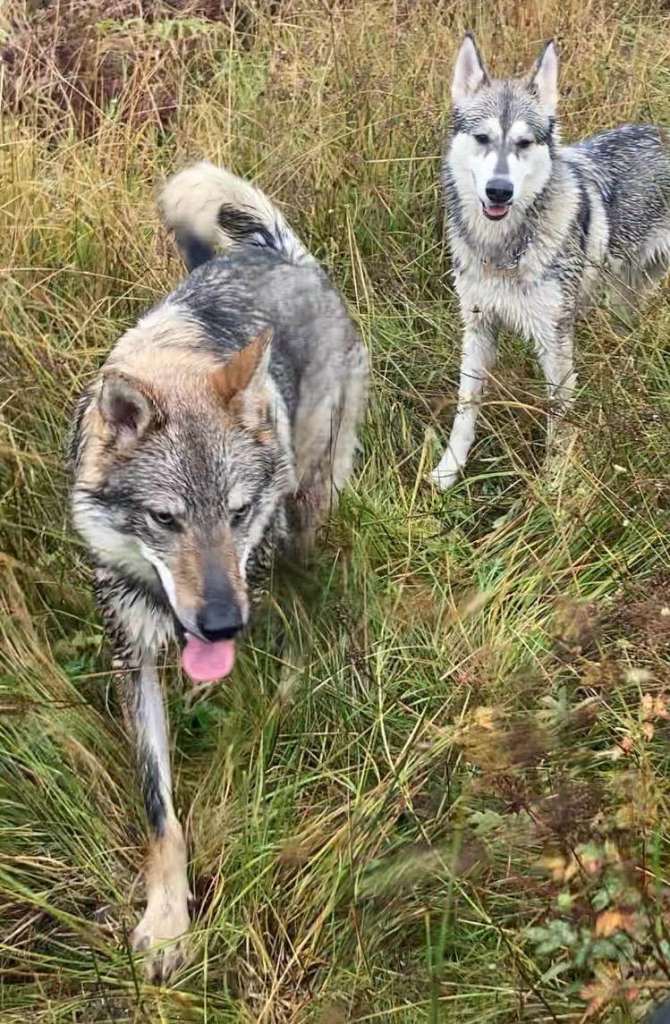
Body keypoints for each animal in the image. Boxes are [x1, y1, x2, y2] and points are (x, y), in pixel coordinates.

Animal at [69, 162, 367, 979]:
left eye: (235, 513)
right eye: (165, 520)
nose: (224, 624)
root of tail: (277, 253)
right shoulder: (133, 656)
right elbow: (160, 814)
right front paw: (169, 923)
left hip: (310, 497)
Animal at [431, 34, 670, 489]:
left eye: (524, 143)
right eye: (483, 138)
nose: (499, 191)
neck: (503, 251)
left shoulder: (554, 343)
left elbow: (559, 424)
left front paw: (553, 487)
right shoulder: (478, 327)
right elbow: (466, 408)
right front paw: (448, 470)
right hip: (623, 297)